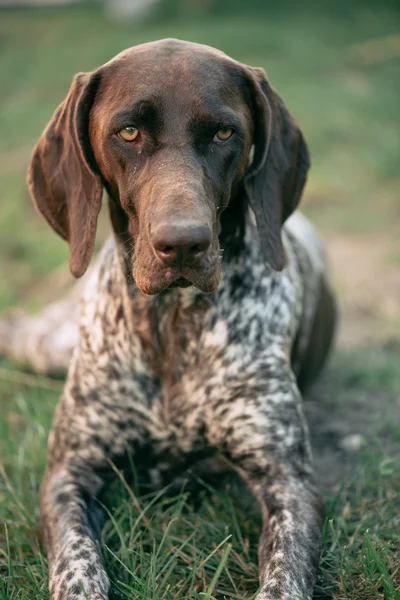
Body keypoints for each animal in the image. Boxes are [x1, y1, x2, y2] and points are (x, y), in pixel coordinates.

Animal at [3, 39, 338, 596]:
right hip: (50, 344)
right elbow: (77, 561)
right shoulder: (68, 473)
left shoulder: (289, 482)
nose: (183, 243)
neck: (170, 323)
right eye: (129, 132)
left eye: (225, 133)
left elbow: (284, 576)